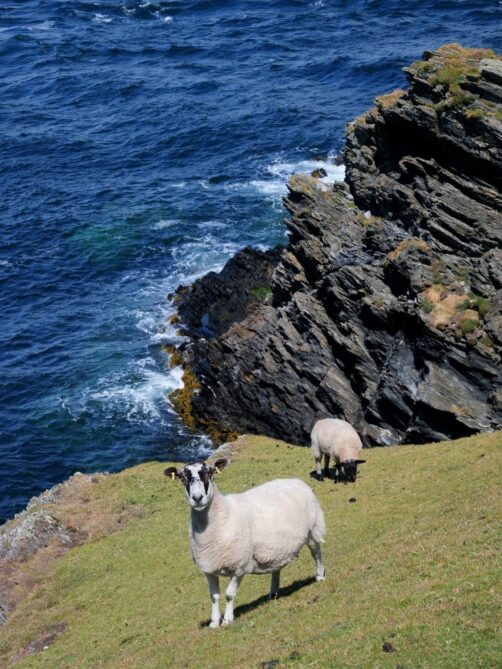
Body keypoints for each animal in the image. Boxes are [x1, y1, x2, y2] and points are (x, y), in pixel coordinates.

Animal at [164, 458, 325, 628]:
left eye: (210, 473)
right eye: (182, 477)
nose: (197, 498)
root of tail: (296, 481)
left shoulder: (239, 566)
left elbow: (229, 594)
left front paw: (227, 619)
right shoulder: (208, 568)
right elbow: (214, 596)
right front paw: (214, 622)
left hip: (313, 528)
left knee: (317, 553)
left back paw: (320, 575)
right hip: (275, 548)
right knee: (277, 566)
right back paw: (273, 592)